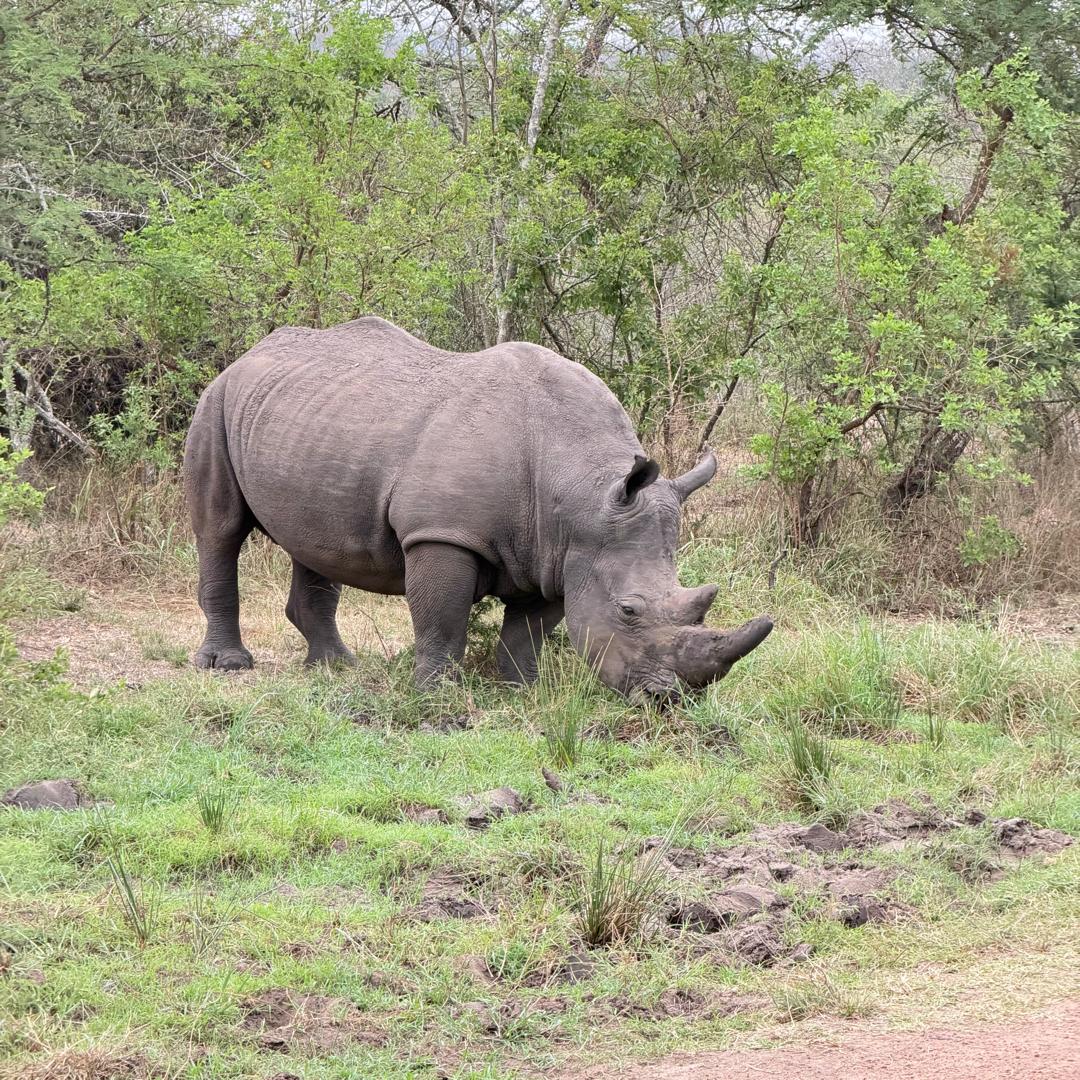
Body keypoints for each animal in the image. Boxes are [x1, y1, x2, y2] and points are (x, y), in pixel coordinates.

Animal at [184, 317, 772, 698]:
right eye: (628, 611)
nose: (669, 700)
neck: (581, 491)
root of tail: (249, 354)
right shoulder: (443, 532)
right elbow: (441, 620)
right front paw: (436, 697)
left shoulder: (555, 552)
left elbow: (529, 630)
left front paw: (520, 691)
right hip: (215, 403)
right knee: (220, 530)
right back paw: (227, 667)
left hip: (308, 419)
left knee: (313, 541)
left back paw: (335, 668)